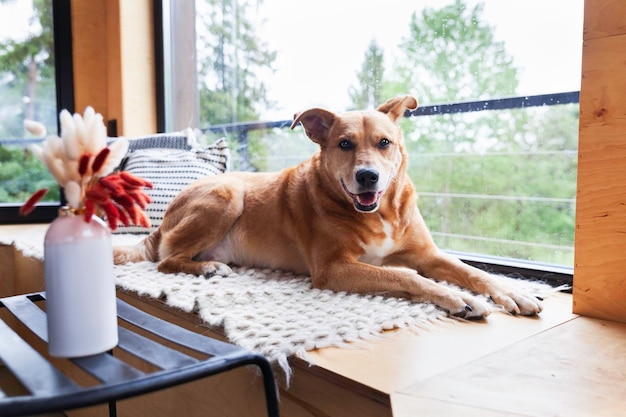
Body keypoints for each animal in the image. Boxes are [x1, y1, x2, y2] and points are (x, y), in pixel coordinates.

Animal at [113, 95, 540, 318]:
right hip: (227, 193)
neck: (379, 213)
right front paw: (457, 298)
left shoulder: (427, 254)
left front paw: (511, 292)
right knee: (166, 259)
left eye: (384, 143)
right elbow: (407, 276)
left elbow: (473, 272)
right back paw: (207, 268)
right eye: (344, 144)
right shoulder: (333, 269)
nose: (367, 176)